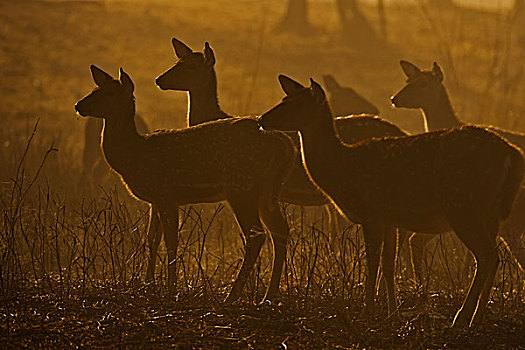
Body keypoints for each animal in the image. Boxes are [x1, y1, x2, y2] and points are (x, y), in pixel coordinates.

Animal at [74, 65, 296, 304]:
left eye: (109, 94)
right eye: (95, 89)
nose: (79, 105)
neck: (134, 155)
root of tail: (286, 145)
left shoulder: (166, 194)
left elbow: (171, 241)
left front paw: (171, 289)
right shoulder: (155, 200)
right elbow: (151, 239)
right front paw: (147, 285)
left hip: (242, 187)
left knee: (257, 235)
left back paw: (232, 296)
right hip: (268, 191)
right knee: (280, 231)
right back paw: (269, 295)